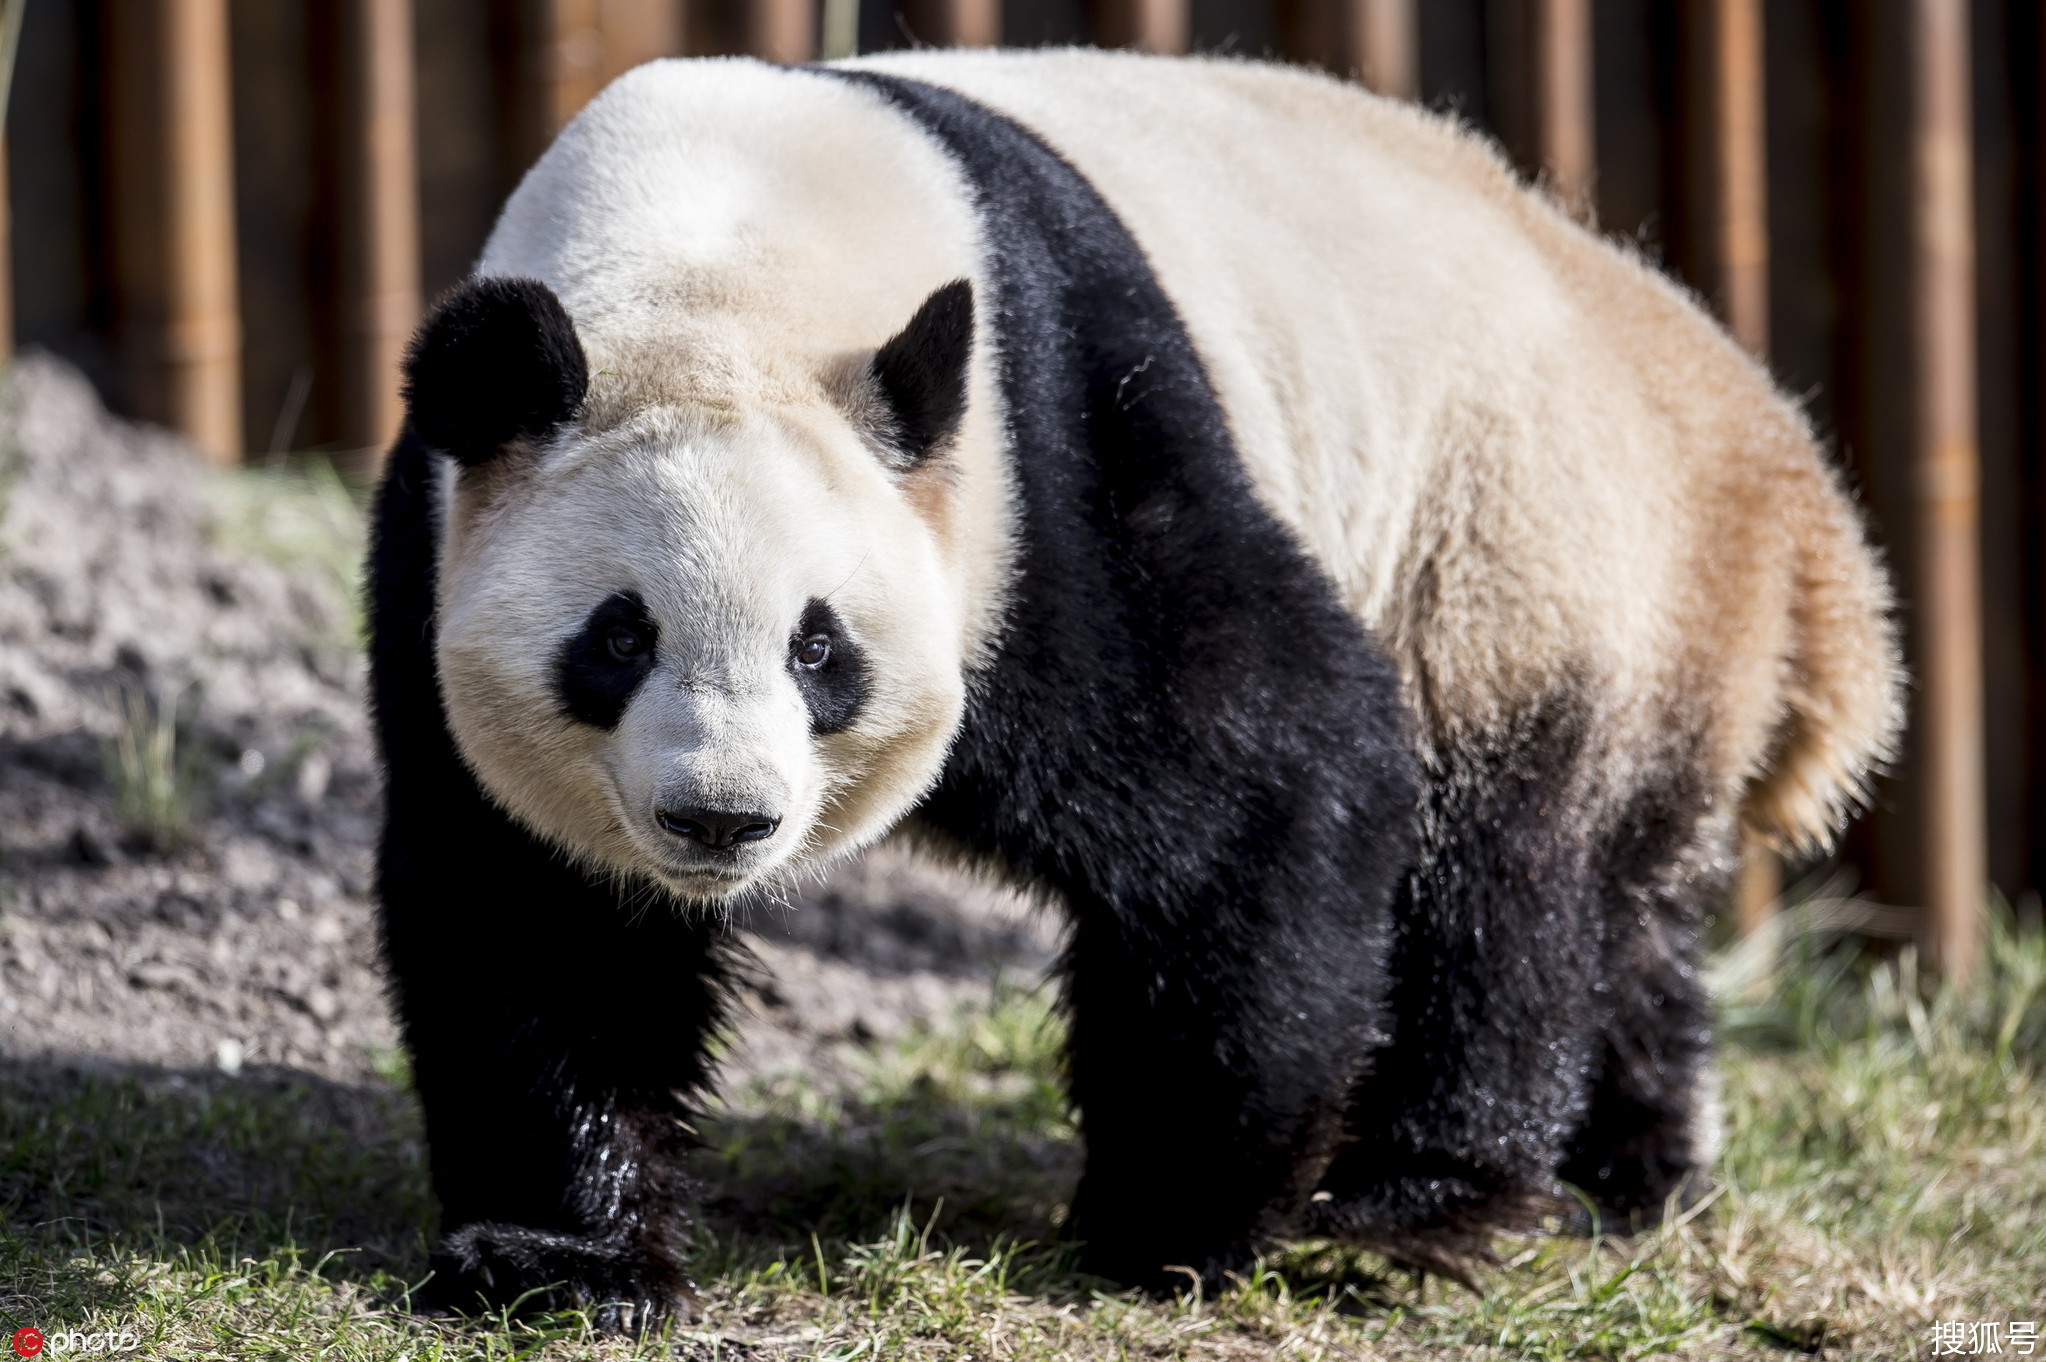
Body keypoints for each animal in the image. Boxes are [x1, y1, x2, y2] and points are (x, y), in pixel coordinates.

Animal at [372, 50, 1898, 1317]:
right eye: (618, 637)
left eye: (820, 647)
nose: (721, 820)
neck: (720, 249)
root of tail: (1775, 465)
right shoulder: (447, 528)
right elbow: (538, 911)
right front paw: (563, 1255)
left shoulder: (1052, 469)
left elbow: (1270, 771)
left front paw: (1174, 1220)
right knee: (1621, 910)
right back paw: (1631, 1169)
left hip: (1522, 563)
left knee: (1510, 890)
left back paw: (1418, 1199)